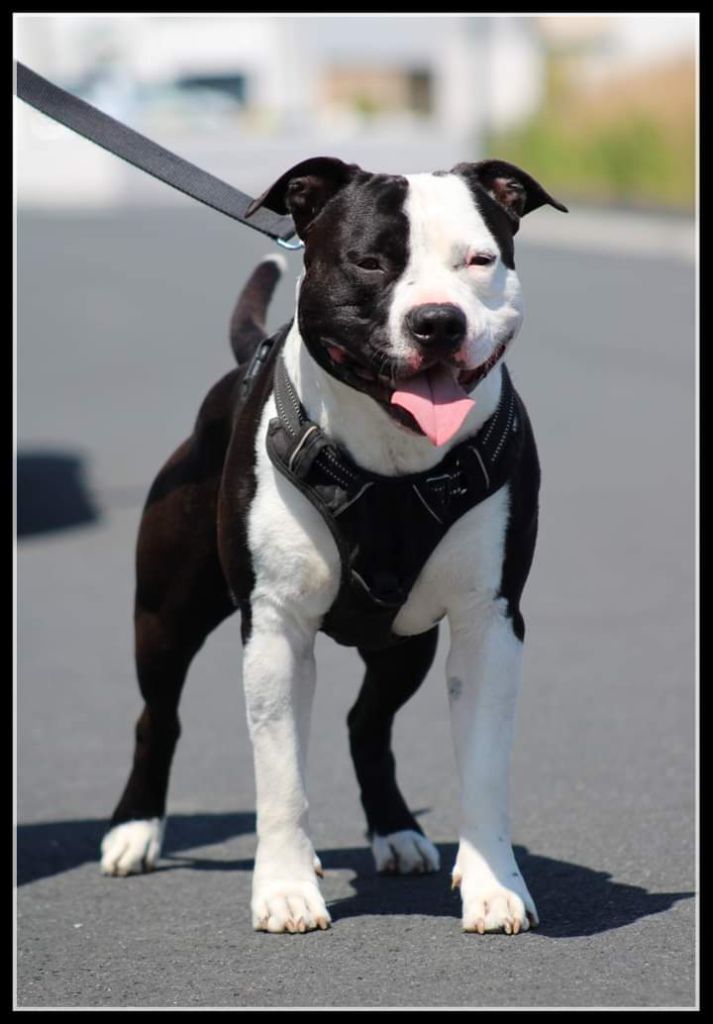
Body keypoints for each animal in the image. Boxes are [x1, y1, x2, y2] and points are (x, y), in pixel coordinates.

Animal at [99, 156, 567, 935]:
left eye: (479, 260)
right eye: (370, 262)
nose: (437, 321)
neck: (393, 462)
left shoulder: (489, 624)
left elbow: (482, 769)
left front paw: (493, 883)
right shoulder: (275, 630)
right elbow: (282, 778)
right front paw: (286, 889)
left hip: (404, 643)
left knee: (366, 724)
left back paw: (397, 831)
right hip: (163, 618)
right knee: (156, 717)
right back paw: (135, 830)